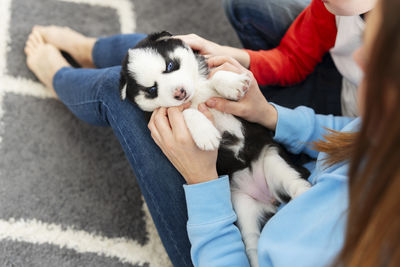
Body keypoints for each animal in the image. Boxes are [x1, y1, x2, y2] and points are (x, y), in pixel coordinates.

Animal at [120, 31, 310, 267]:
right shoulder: (165, 116)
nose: (179, 93)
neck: (195, 95)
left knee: (296, 183)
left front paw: (234, 84)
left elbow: (216, 76)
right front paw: (206, 134)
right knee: (251, 243)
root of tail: (268, 198)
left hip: (273, 159)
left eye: (170, 65)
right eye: (152, 89)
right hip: (242, 207)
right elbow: (186, 112)